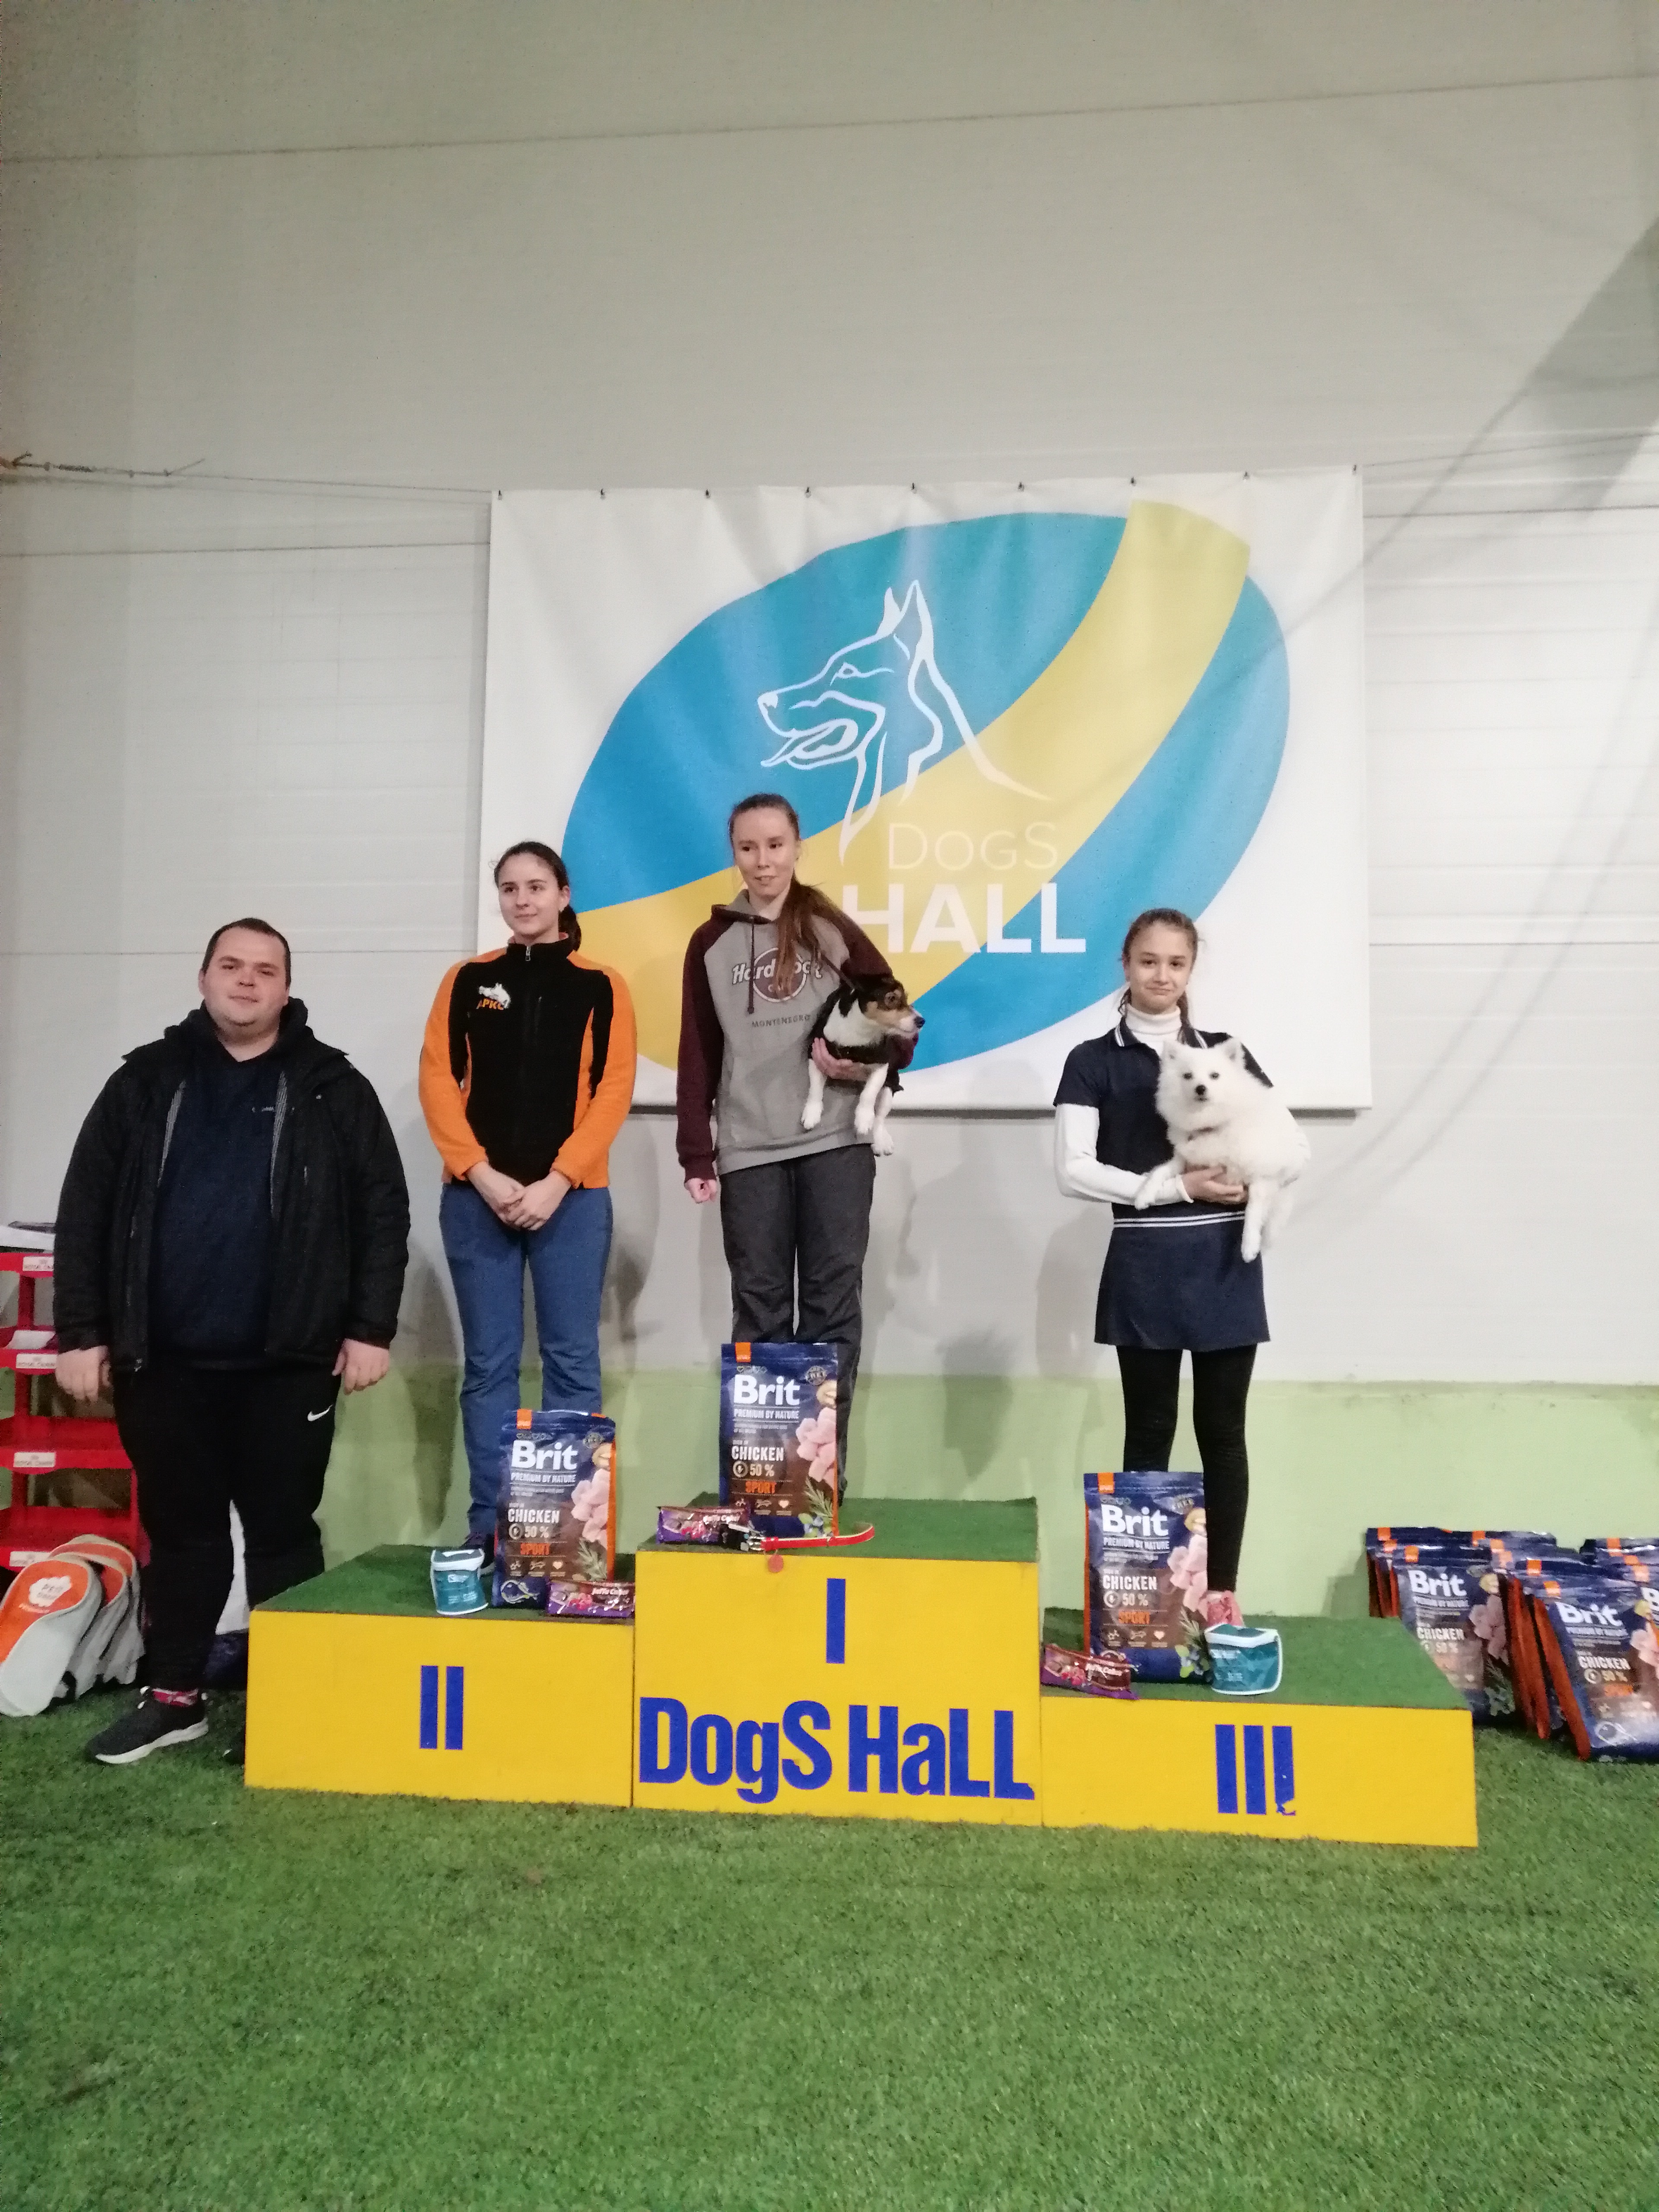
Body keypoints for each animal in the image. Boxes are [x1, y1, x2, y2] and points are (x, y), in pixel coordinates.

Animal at [800, 976, 923, 1156]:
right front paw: (811, 1114)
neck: (862, 1032)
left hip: (889, 1088)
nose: (922, 1021)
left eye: (906, 999)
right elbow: (815, 1089)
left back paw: (880, 1141)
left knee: (879, 1118)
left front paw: (863, 1119)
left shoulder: (882, 1067)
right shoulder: (815, 1054)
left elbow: (869, 1094)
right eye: (892, 999)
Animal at [1134, 1037, 1309, 1262]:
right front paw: (1143, 1196)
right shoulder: (1183, 1160)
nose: (1200, 1088)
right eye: (1188, 1076)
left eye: (1215, 1076)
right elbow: (1159, 1172)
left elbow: (1253, 1213)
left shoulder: (1262, 1177)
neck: (1210, 1123)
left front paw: (1249, 1247)